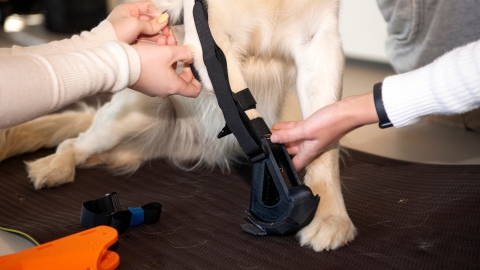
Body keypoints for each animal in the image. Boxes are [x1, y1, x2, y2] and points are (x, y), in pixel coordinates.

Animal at [0, 0, 356, 251]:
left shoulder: (321, 39)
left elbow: (324, 137)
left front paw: (329, 214)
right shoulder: (211, 35)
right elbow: (244, 109)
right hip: (131, 115)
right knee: (74, 143)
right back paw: (54, 167)